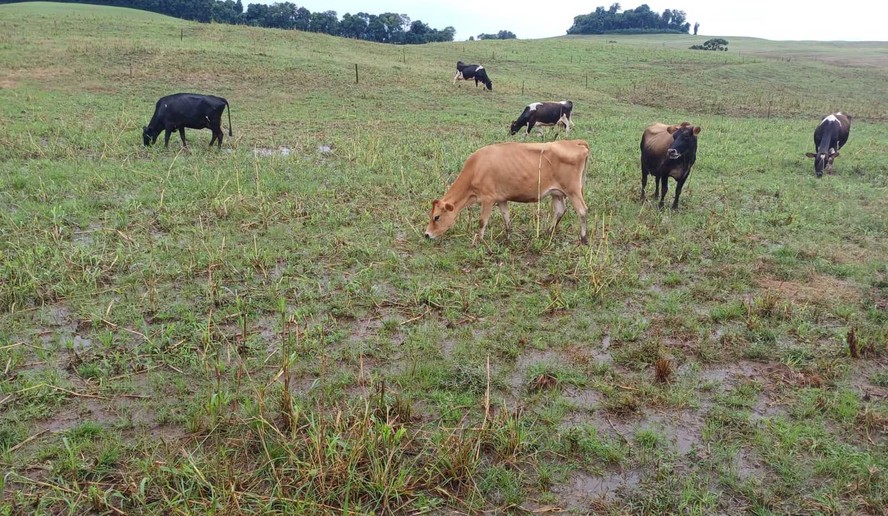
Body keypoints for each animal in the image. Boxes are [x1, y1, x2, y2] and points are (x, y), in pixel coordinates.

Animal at [424, 140, 588, 245]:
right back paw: (548, 232)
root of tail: (576, 142)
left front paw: (479, 240)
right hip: (557, 193)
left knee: (582, 211)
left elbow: (482, 221)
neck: (476, 168)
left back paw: (583, 239)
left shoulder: (488, 198)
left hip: (573, 190)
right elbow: (506, 219)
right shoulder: (501, 199)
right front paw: (508, 238)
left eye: (436, 217)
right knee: (560, 210)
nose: (426, 235)